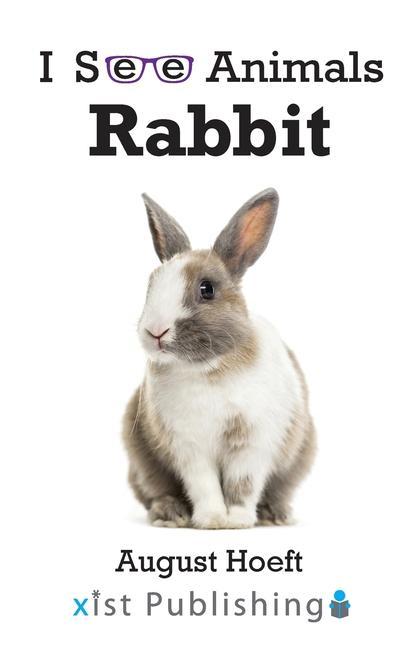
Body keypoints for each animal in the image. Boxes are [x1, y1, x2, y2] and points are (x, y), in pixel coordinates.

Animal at [122, 188, 316, 529]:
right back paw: (171, 514)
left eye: (207, 289)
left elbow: (243, 484)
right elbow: (204, 485)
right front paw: (212, 519)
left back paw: (276, 515)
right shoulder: (189, 448)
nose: (155, 331)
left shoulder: (252, 444)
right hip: (141, 461)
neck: (208, 369)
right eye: (151, 285)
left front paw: (236, 520)